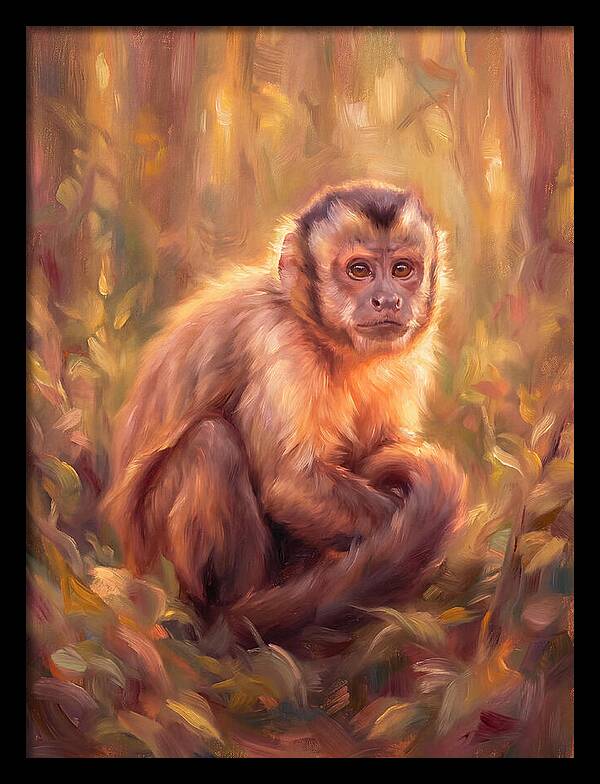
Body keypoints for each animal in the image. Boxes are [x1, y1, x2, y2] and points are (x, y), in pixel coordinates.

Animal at [101, 181, 466, 647]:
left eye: (402, 269)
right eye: (360, 271)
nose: (388, 299)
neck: (325, 339)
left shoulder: (406, 359)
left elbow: (382, 448)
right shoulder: (278, 341)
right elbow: (290, 483)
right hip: (155, 558)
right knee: (211, 443)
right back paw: (233, 612)